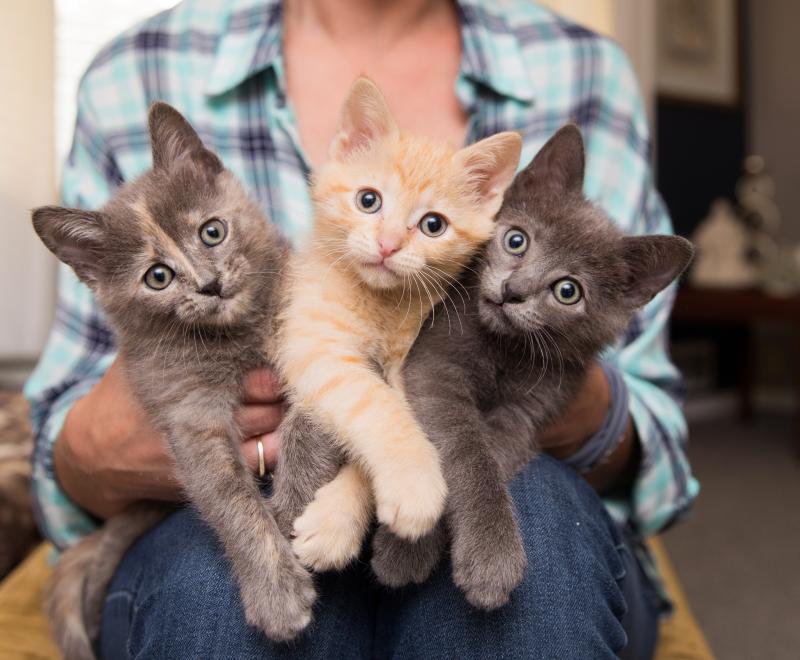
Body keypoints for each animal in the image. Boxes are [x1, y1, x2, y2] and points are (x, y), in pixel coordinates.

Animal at [30, 103, 332, 660]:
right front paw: (275, 590)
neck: (237, 333)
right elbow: (227, 495)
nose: (210, 285)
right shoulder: (185, 408)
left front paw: (291, 509)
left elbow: (310, 418)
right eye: (158, 277)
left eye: (212, 232)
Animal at [276, 78, 520, 572]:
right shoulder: (317, 345)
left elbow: (400, 411)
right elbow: (376, 406)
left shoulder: (420, 364)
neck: (382, 304)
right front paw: (415, 481)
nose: (388, 245)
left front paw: (336, 521)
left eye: (433, 225)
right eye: (368, 200)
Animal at [368, 124, 692, 608]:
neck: (506, 350)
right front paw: (415, 549)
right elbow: (467, 451)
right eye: (516, 240)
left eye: (567, 291)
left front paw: (468, 553)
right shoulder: (435, 366)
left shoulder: (533, 408)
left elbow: (491, 458)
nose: (513, 290)